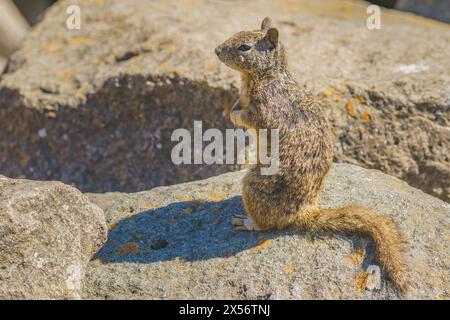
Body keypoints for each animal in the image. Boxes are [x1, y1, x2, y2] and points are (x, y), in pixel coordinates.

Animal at [216, 17, 410, 292]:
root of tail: (304, 211)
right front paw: (232, 108)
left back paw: (246, 222)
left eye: (245, 47)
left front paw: (234, 115)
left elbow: (249, 118)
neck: (266, 76)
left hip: (253, 186)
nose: (216, 50)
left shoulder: (264, 110)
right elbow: (237, 105)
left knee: (267, 225)